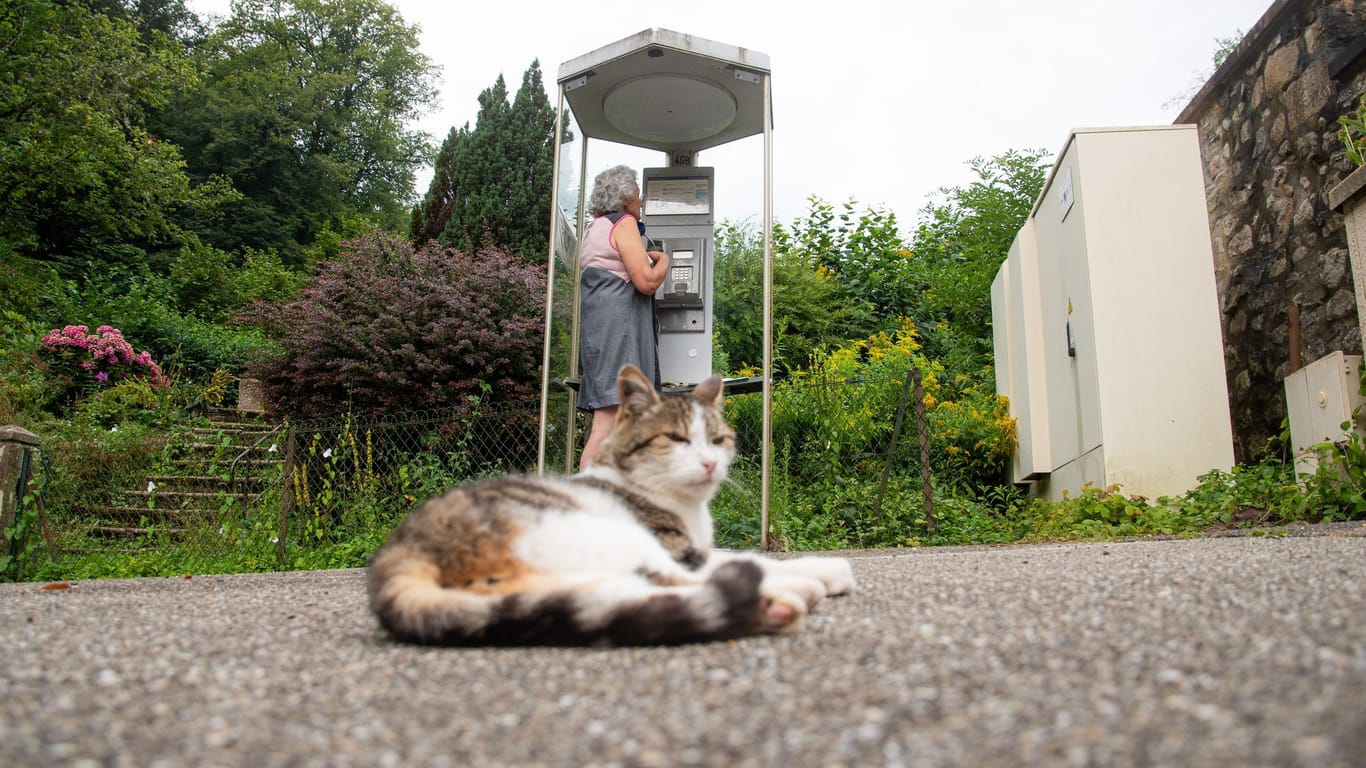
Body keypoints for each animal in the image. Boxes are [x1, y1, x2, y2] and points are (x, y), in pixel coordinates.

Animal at [363, 363, 852, 645]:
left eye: (718, 440)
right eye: (676, 439)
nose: (712, 462)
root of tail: (400, 551)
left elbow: (733, 553)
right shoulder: (677, 547)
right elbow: (741, 558)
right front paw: (819, 570)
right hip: (603, 533)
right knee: (675, 580)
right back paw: (787, 594)